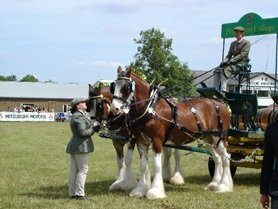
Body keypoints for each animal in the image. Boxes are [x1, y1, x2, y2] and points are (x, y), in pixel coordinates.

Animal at [109, 69, 231, 199]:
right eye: (113, 87)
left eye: (127, 87)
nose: (115, 108)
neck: (150, 109)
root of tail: (221, 104)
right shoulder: (141, 142)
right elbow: (143, 165)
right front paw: (140, 190)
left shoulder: (157, 141)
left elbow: (157, 165)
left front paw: (155, 191)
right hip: (208, 139)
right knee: (217, 158)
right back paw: (214, 184)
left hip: (220, 137)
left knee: (226, 158)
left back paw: (224, 186)